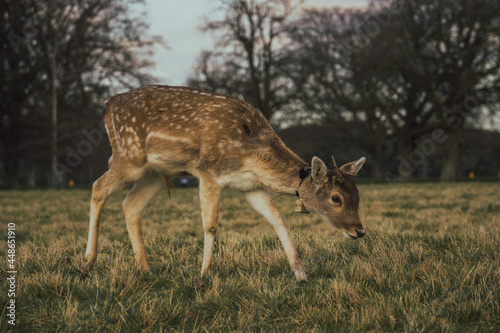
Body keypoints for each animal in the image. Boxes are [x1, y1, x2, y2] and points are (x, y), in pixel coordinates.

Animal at [79, 85, 368, 280]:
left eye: (357, 196)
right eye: (336, 198)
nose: (359, 231)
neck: (252, 153)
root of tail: (107, 107)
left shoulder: (250, 186)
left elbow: (277, 218)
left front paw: (300, 273)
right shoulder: (209, 172)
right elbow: (210, 224)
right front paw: (204, 274)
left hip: (155, 173)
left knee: (130, 204)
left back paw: (145, 269)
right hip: (129, 157)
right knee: (98, 187)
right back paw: (86, 264)